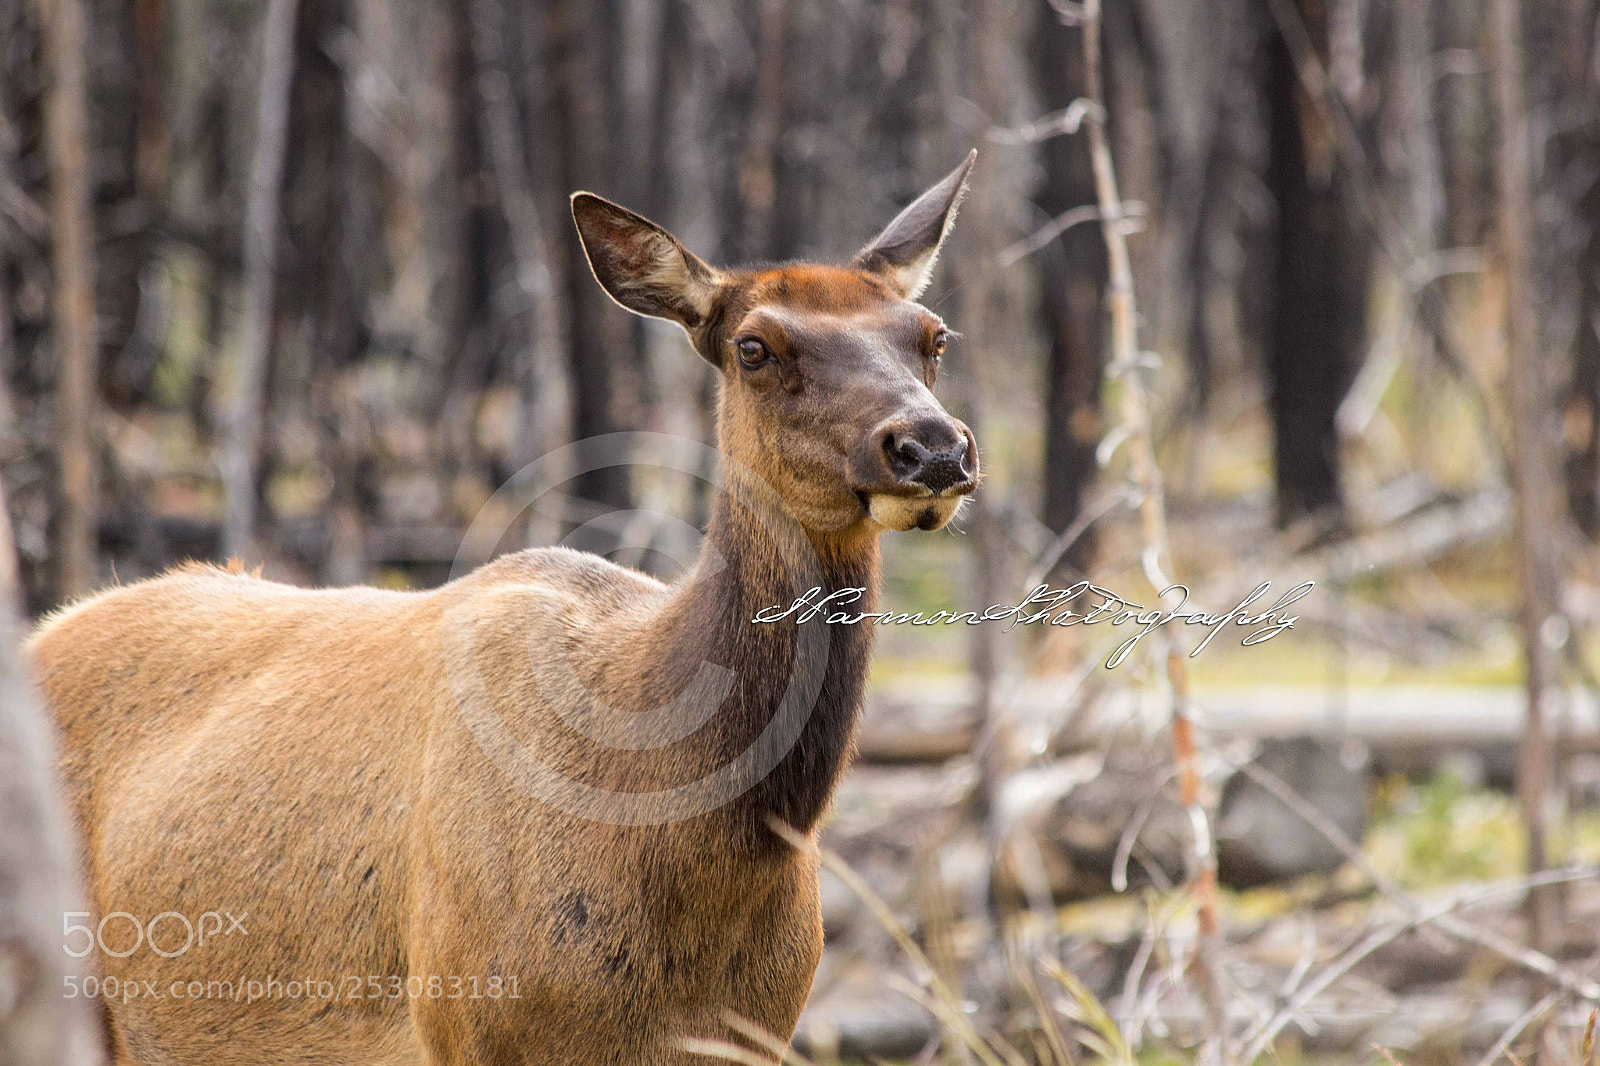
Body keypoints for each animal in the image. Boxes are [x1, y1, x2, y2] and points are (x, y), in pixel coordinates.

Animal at [27, 151, 980, 1065]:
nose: (932, 447)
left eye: (931, 337)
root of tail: (44, 630)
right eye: (754, 347)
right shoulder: (469, 1023)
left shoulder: (760, 1032)